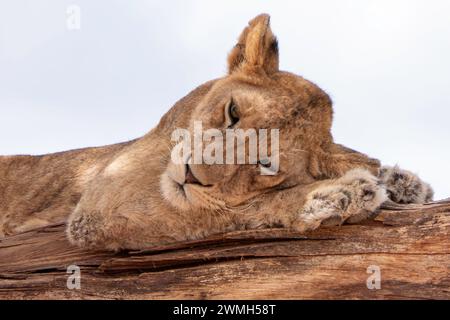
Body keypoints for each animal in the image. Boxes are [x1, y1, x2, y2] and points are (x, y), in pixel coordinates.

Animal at [0, 14, 436, 250]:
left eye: (264, 164)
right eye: (232, 112)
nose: (192, 174)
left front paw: (402, 181)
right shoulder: (100, 206)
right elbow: (221, 212)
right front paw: (340, 194)